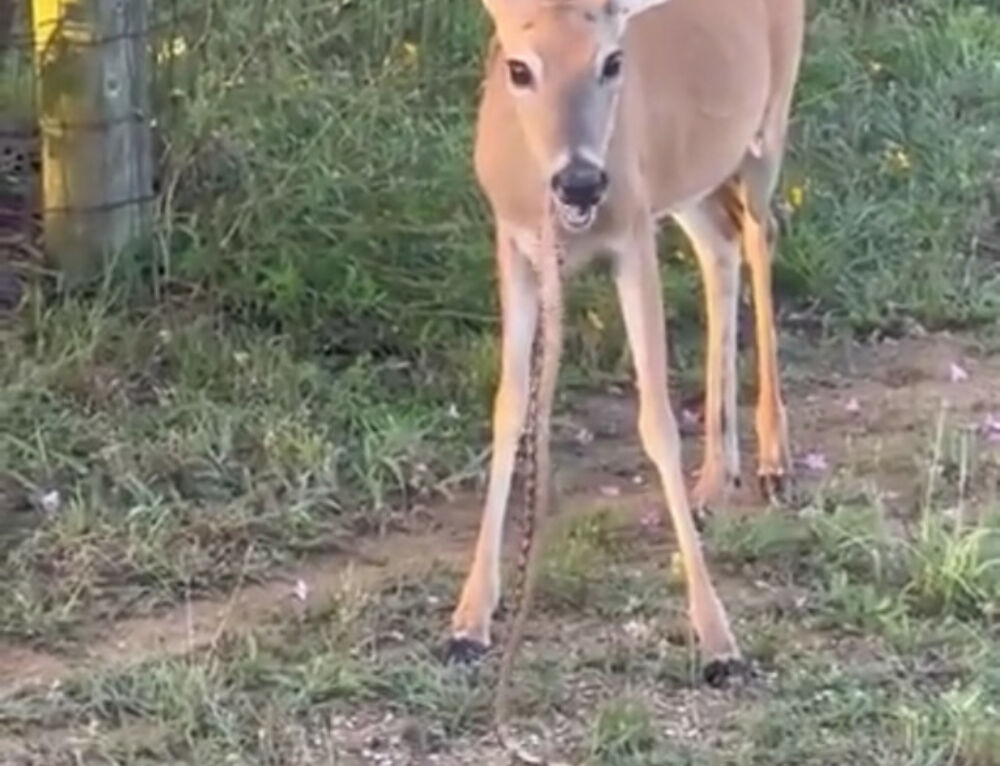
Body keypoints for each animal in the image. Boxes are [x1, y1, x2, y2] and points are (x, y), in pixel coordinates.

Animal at [446, 0, 806, 718]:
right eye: (518, 68)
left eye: (612, 61)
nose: (582, 180)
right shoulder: (515, 244)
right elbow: (509, 408)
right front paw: (469, 620)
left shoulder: (632, 234)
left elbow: (657, 421)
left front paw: (720, 642)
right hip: (690, 179)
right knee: (721, 244)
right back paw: (713, 480)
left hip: (767, 121)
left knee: (761, 232)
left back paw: (773, 460)